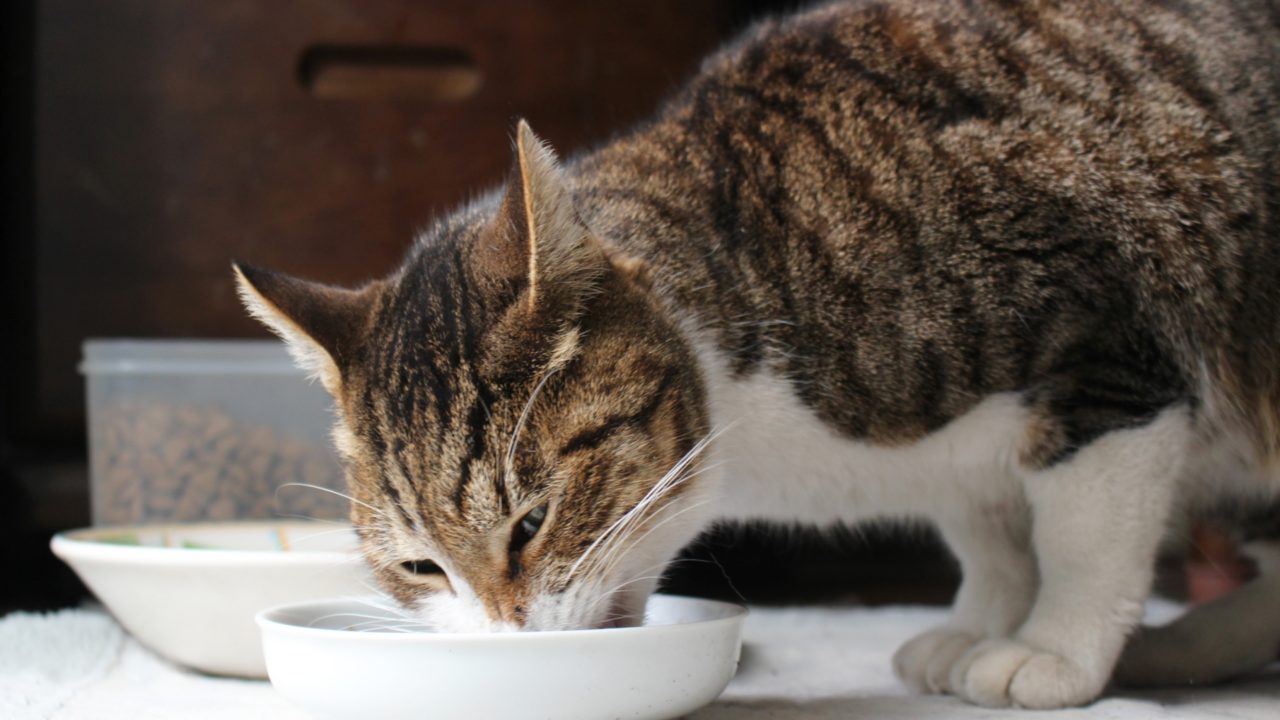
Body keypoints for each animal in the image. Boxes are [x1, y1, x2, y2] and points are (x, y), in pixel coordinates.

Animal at [235, 0, 1274, 707]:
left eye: (530, 524)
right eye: (420, 569)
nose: (509, 632)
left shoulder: (1105, 351)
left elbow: (1080, 536)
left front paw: (1051, 647)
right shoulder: (969, 466)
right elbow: (988, 532)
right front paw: (979, 623)